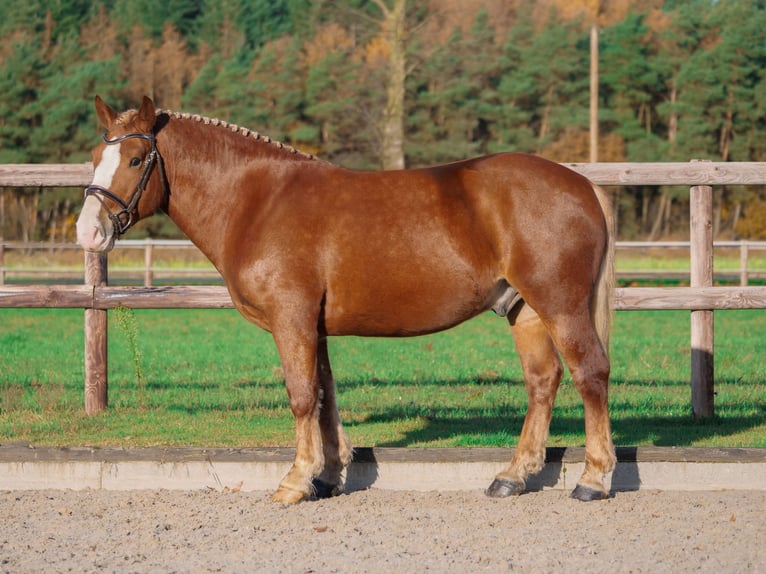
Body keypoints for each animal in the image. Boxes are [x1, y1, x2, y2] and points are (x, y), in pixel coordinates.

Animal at [76, 98, 616, 504]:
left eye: (136, 159)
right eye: (95, 155)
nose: (88, 231)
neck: (257, 201)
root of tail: (583, 185)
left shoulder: (291, 320)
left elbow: (300, 395)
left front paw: (296, 481)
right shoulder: (314, 327)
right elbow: (324, 395)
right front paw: (331, 474)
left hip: (561, 305)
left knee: (590, 373)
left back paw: (594, 478)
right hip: (524, 309)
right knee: (542, 381)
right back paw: (513, 476)